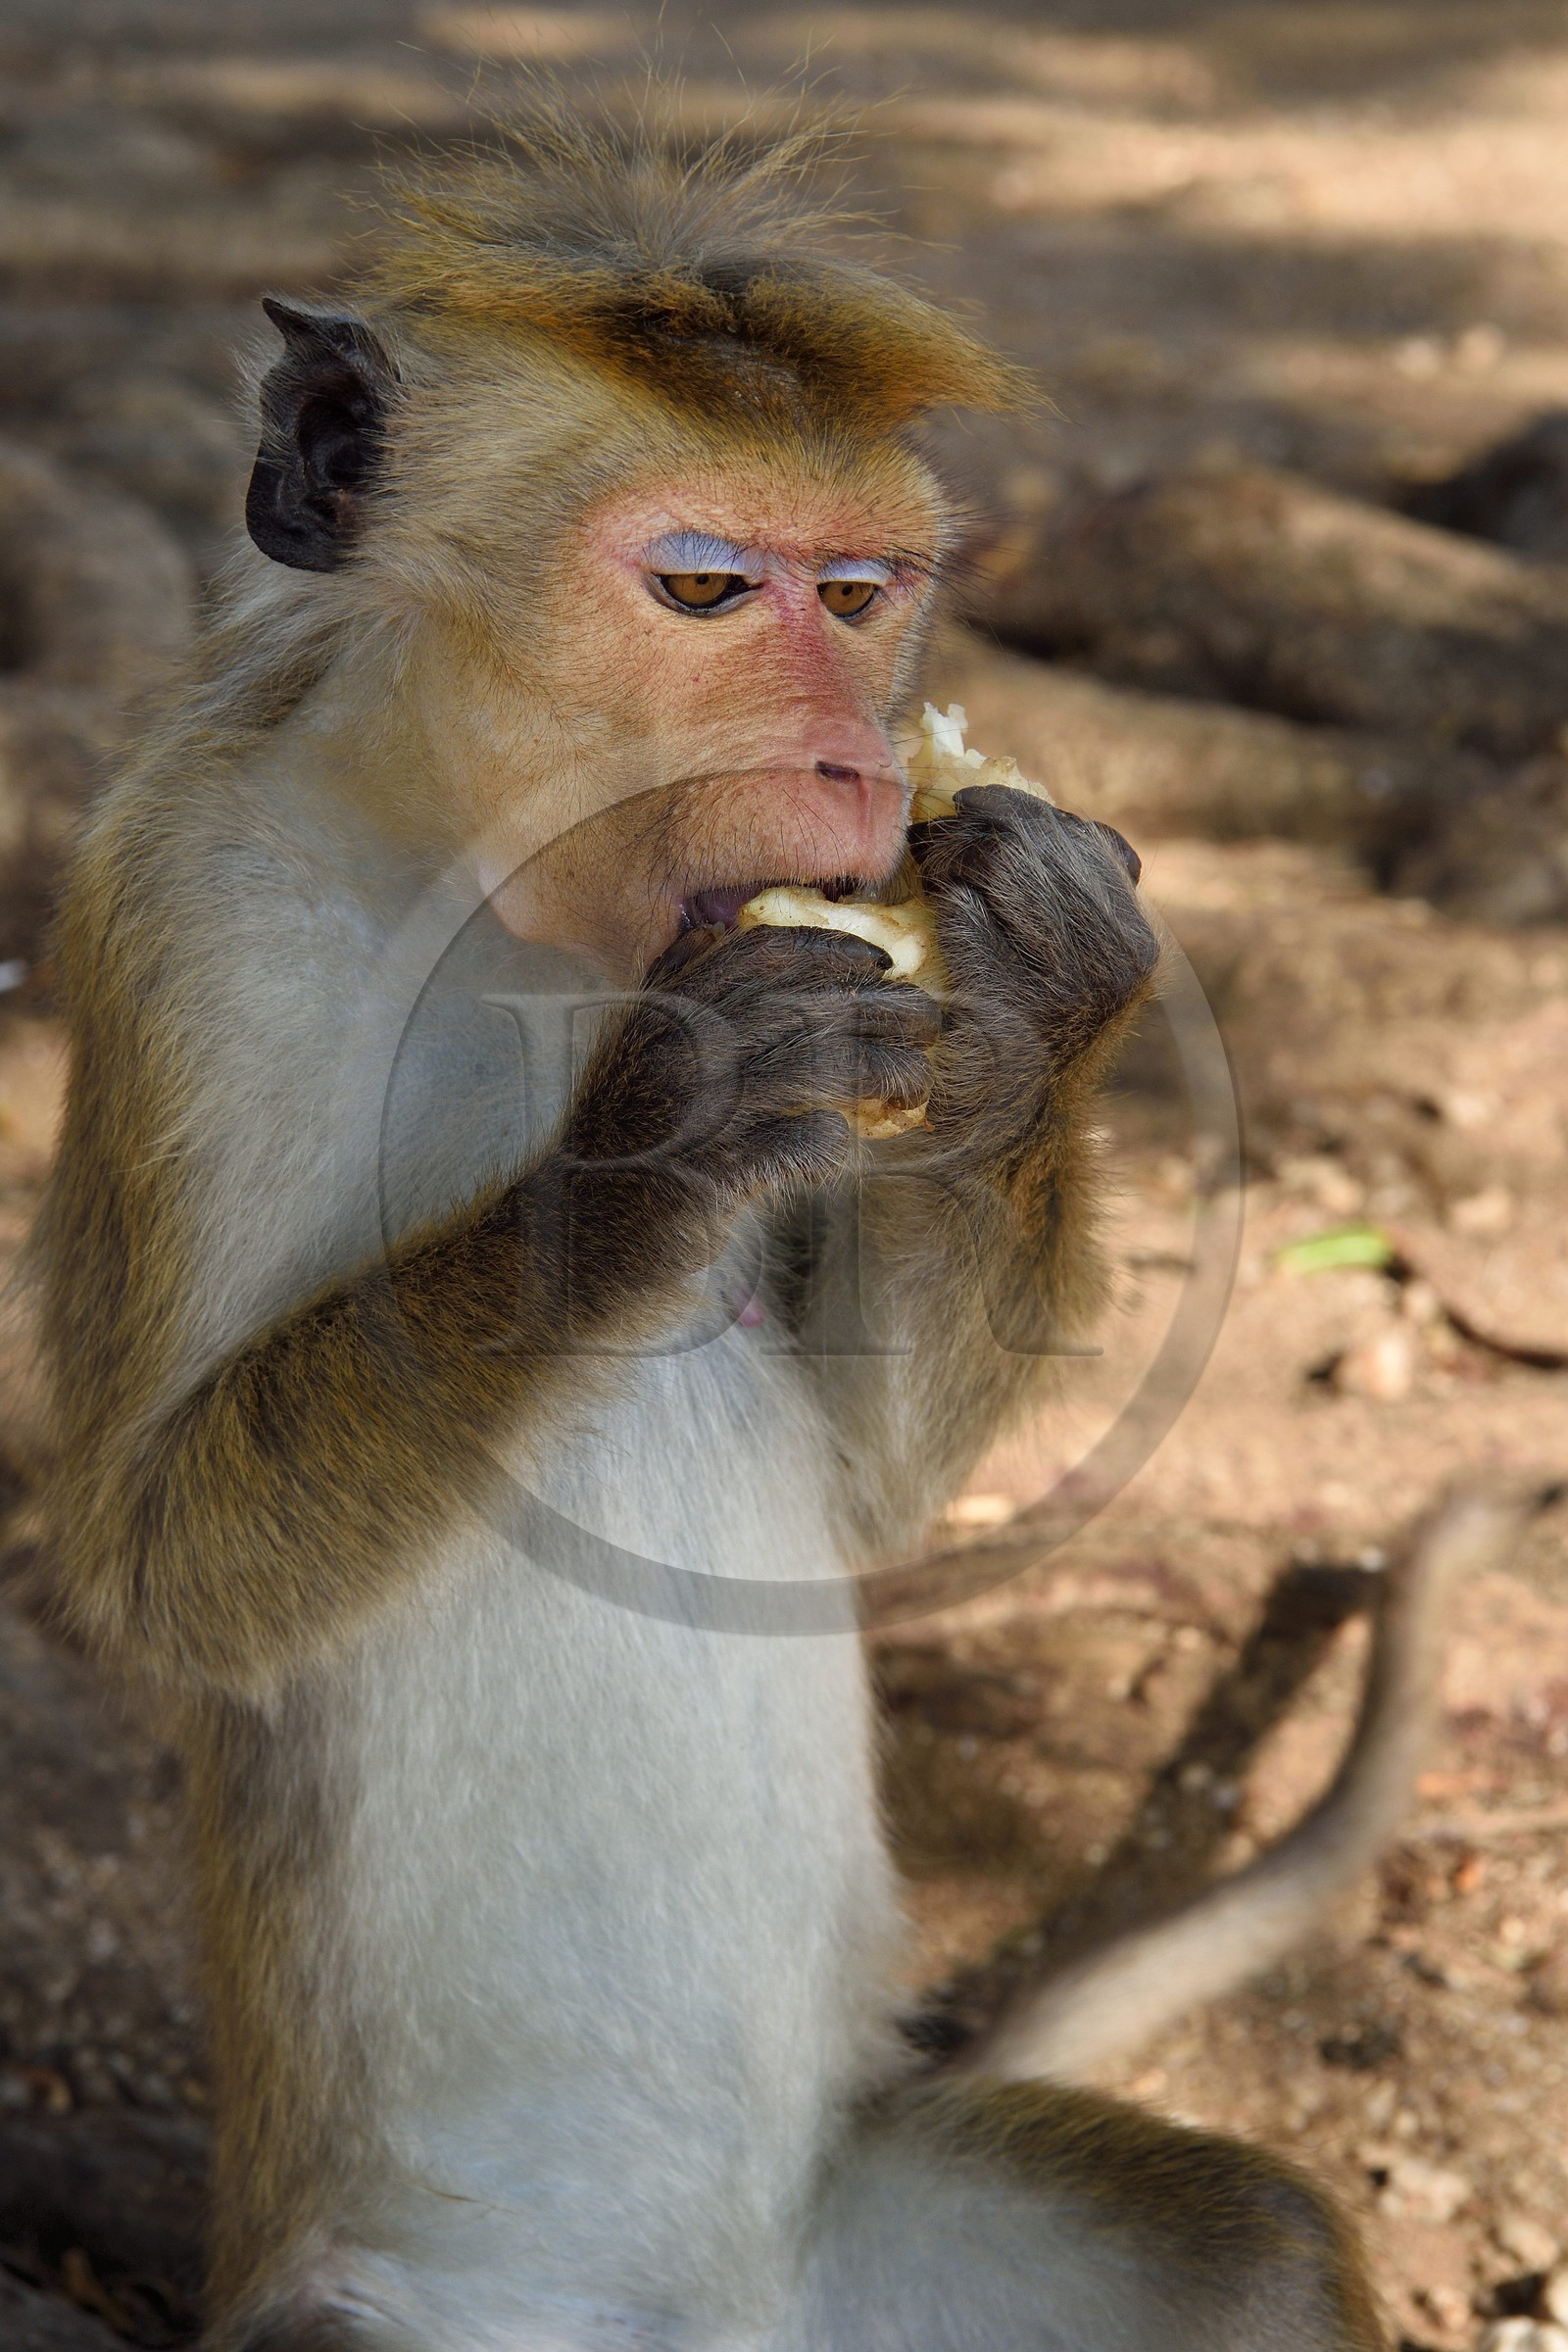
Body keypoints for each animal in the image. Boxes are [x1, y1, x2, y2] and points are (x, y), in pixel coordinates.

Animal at [30, 116, 1474, 2350]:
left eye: (860, 597)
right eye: (707, 589)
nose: (852, 752)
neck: (498, 895)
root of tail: (728, 2311)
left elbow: (871, 1488)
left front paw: (1044, 991)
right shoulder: (188, 919)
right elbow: (150, 1562)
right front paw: (651, 1147)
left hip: (872, 2244)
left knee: (1250, 2253)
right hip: (415, 2303)